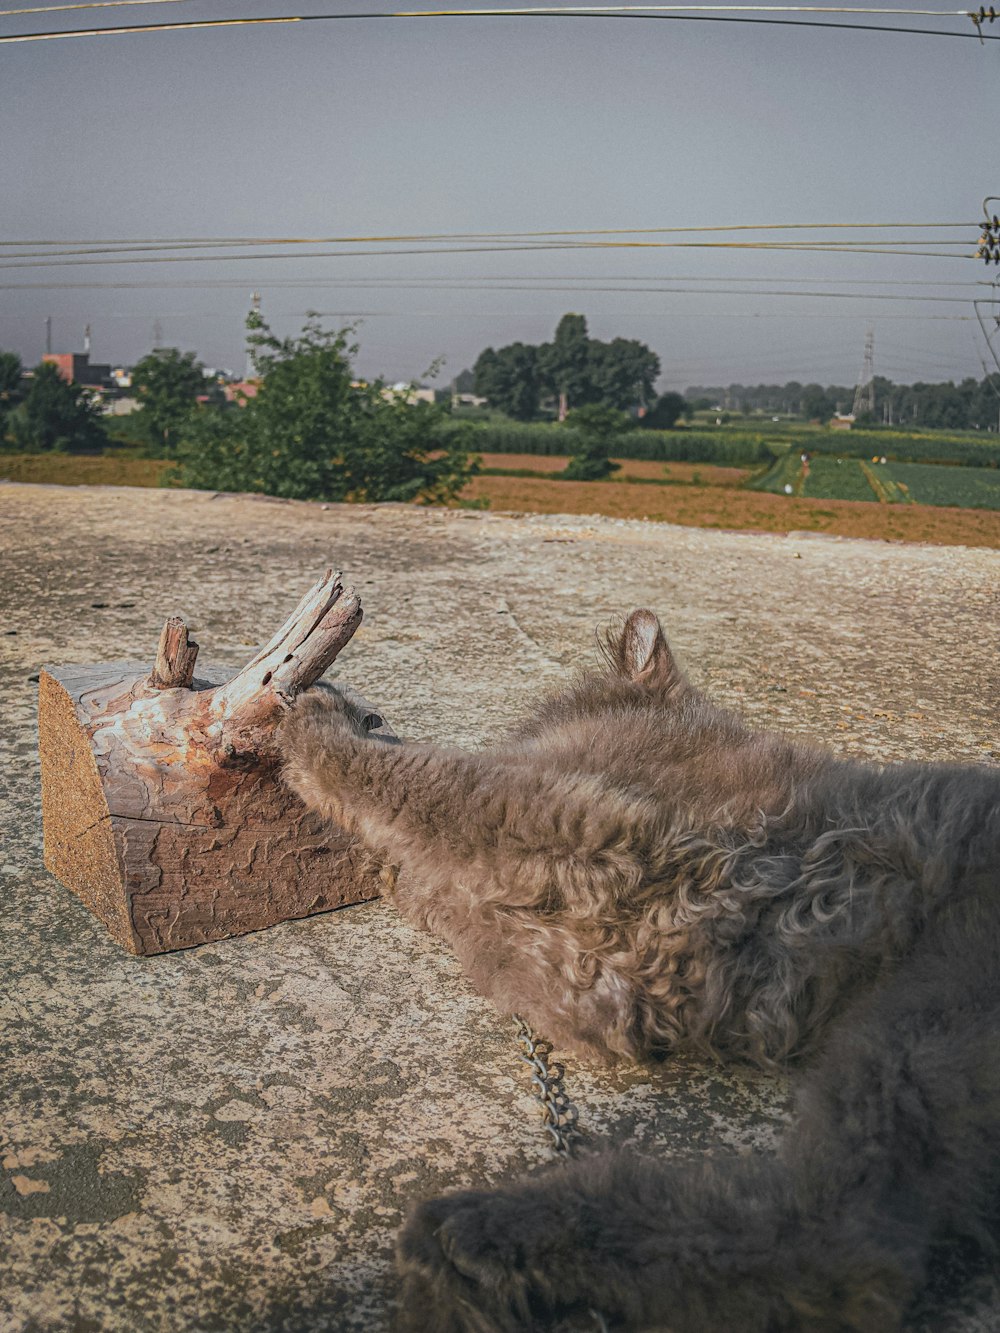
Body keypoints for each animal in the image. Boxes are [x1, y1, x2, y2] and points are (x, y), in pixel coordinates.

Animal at [276, 610, 1000, 1333]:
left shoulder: (609, 838)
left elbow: (429, 783)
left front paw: (316, 718)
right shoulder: (594, 977)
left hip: (923, 1023)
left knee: (840, 1243)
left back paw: (488, 1237)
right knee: (844, 1259)